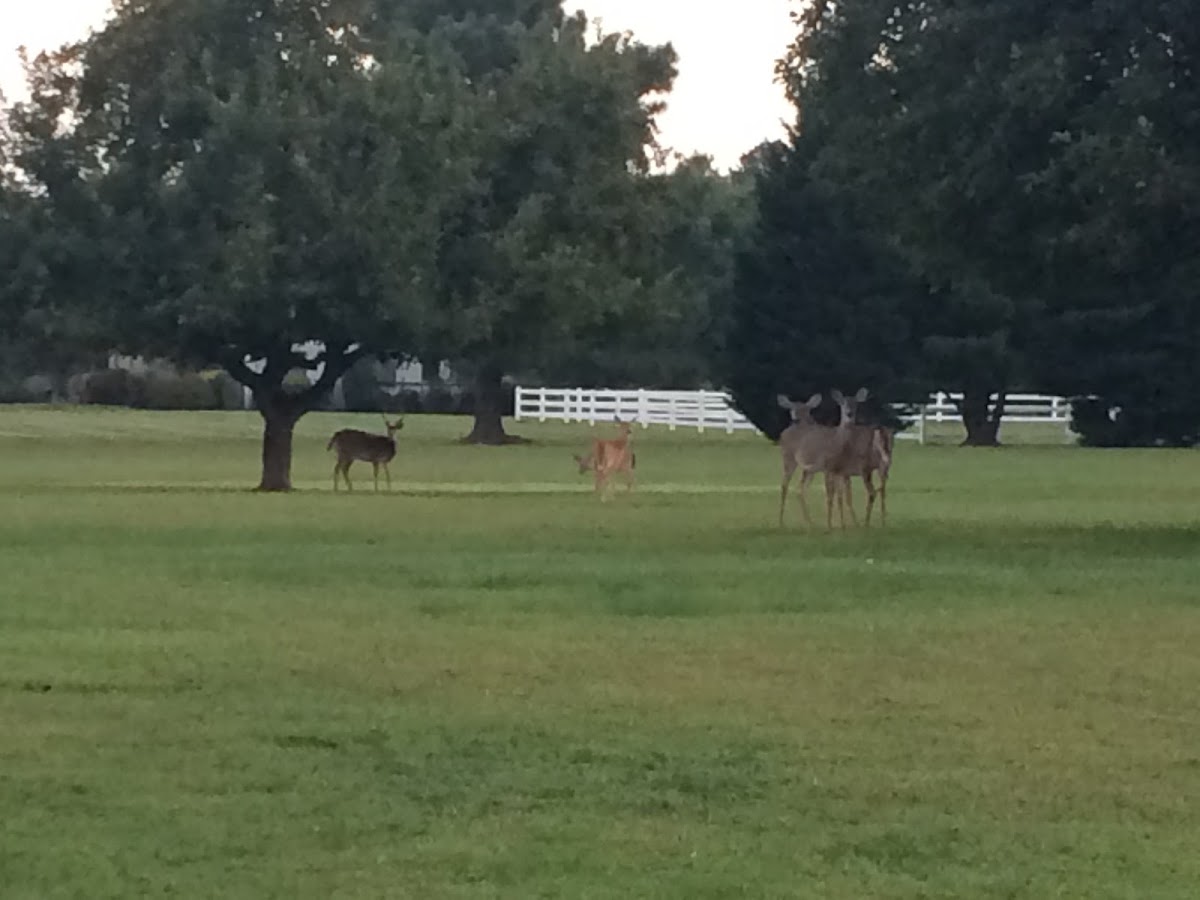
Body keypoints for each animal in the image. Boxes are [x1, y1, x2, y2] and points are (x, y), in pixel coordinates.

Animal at [777, 391, 864, 532]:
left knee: (800, 489)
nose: (849, 413)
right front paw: (831, 525)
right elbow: (831, 495)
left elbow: (843, 495)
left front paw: (849, 524)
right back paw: (781, 522)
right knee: (785, 485)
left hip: (808, 469)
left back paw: (810, 523)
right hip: (788, 458)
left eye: (856, 404)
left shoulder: (841, 472)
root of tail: (784, 432)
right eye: (842, 403)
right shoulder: (828, 468)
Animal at [830, 388, 897, 528]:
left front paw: (845, 523)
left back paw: (865, 523)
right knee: (882, 491)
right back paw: (882, 522)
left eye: (856, 404)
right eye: (842, 403)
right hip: (883, 466)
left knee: (872, 492)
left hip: (865, 468)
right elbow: (843, 495)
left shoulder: (843, 471)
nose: (849, 413)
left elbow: (843, 496)